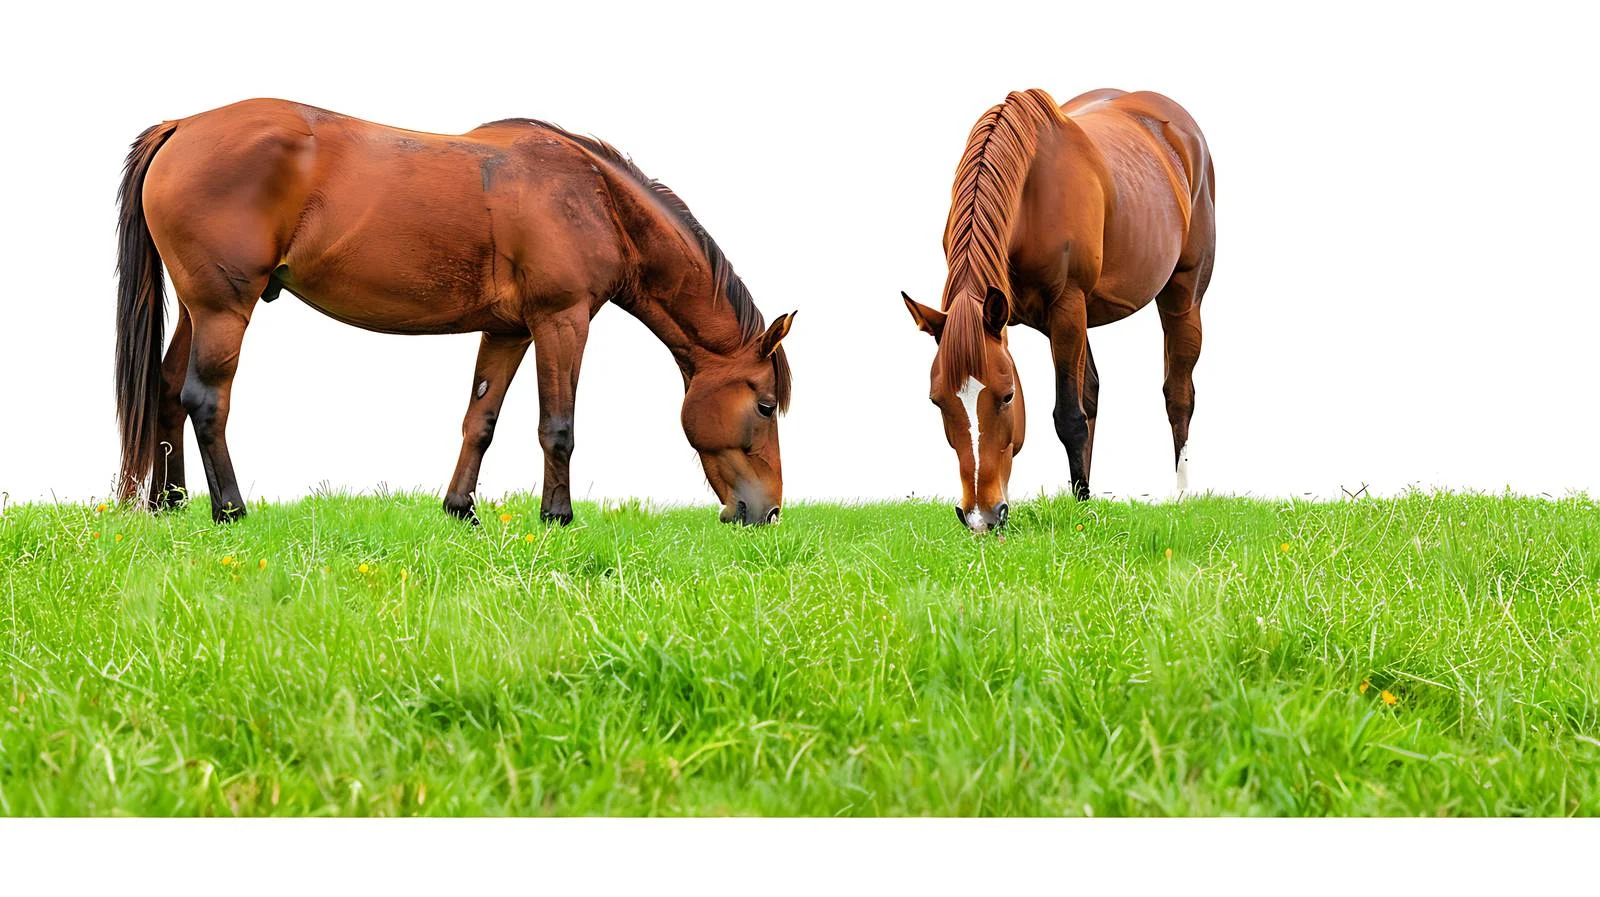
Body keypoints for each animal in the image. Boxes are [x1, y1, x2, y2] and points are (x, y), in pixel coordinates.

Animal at [115, 99, 795, 526]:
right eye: (765, 405)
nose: (767, 512)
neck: (594, 199)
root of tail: (182, 126)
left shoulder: (507, 331)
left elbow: (481, 421)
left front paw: (460, 509)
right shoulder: (562, 321)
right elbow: (559, 426)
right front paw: (557, 516)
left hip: (198, 310)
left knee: (169, 388)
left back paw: (170, 504)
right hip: (224, 307)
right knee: (207, 399)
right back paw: (229, 510)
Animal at [902, 88, 1215, 533]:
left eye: (1007, 396)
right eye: (936, 400)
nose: (980, 517)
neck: (1030, 194)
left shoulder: (1067, 306)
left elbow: (1069, 415)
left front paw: (1081, 512)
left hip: (1182, 298)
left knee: (1179, 394)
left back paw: (1182, 496)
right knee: (1095, 392)